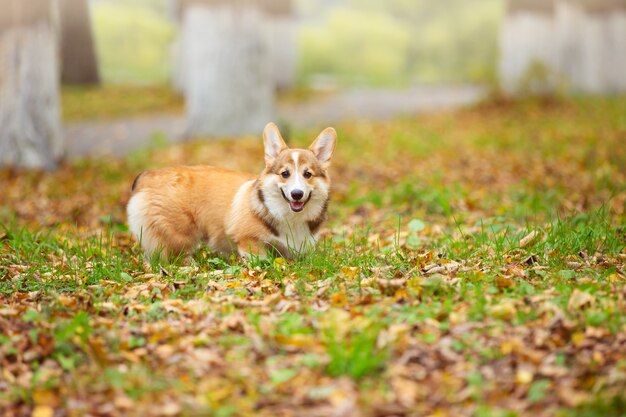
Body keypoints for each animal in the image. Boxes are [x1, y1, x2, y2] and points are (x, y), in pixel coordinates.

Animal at [123, 122, 334, 260]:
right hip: (177, 237)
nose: (297, 194)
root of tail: (150, 175)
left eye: (307, 174)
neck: (290, 218)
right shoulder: (249, 242)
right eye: (285, 173)